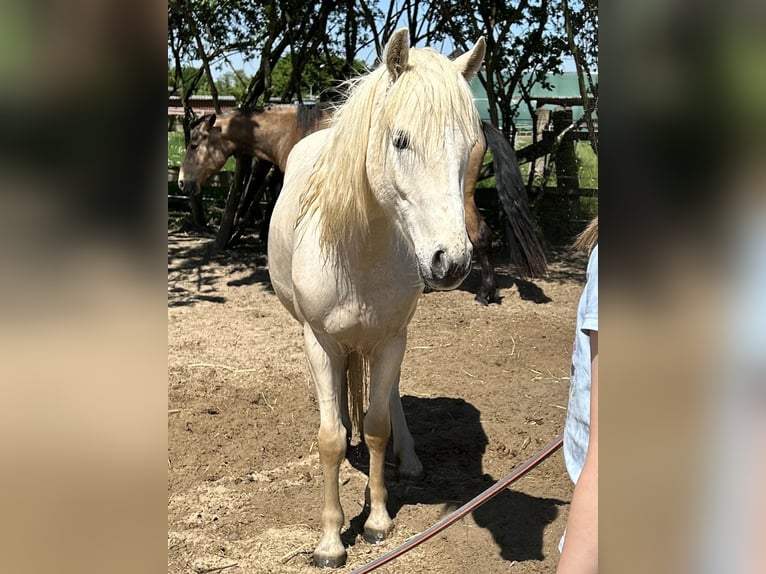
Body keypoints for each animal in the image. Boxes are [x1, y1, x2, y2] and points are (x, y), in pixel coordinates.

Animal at [177, 102, 546, 305]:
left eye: (194, 143)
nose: (182, 182)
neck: (294, 131)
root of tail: (478, 124)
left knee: (479, 236)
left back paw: (486, 293)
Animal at [267, 29, 486, 567]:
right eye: (400, 139)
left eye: (469, 146)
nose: (452, 261)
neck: (358, 250)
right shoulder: (320, 342)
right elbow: (328, 438)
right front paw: (330, 540)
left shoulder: (389, 339)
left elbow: (379, 424)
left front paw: (379, 519)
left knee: (388, 398)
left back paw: (407, 459)